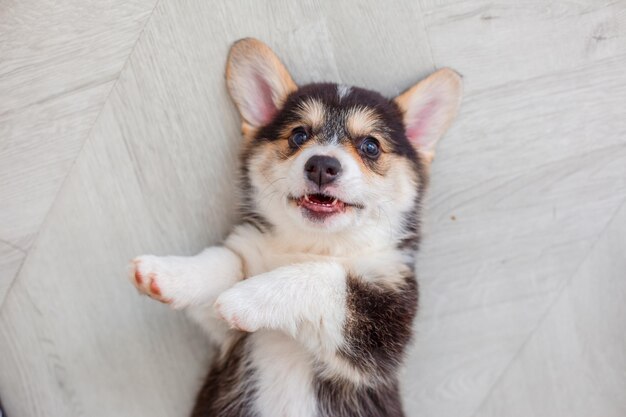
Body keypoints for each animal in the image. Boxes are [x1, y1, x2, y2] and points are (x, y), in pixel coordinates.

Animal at [129, 37, 460, 414]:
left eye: (370, 146)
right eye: (299, 136)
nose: (322, 165)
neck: (313, 244)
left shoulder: (384, 328)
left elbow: (323, 277)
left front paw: (245, 298)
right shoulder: (226, 324)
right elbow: (224, 261)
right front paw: (165, 273)